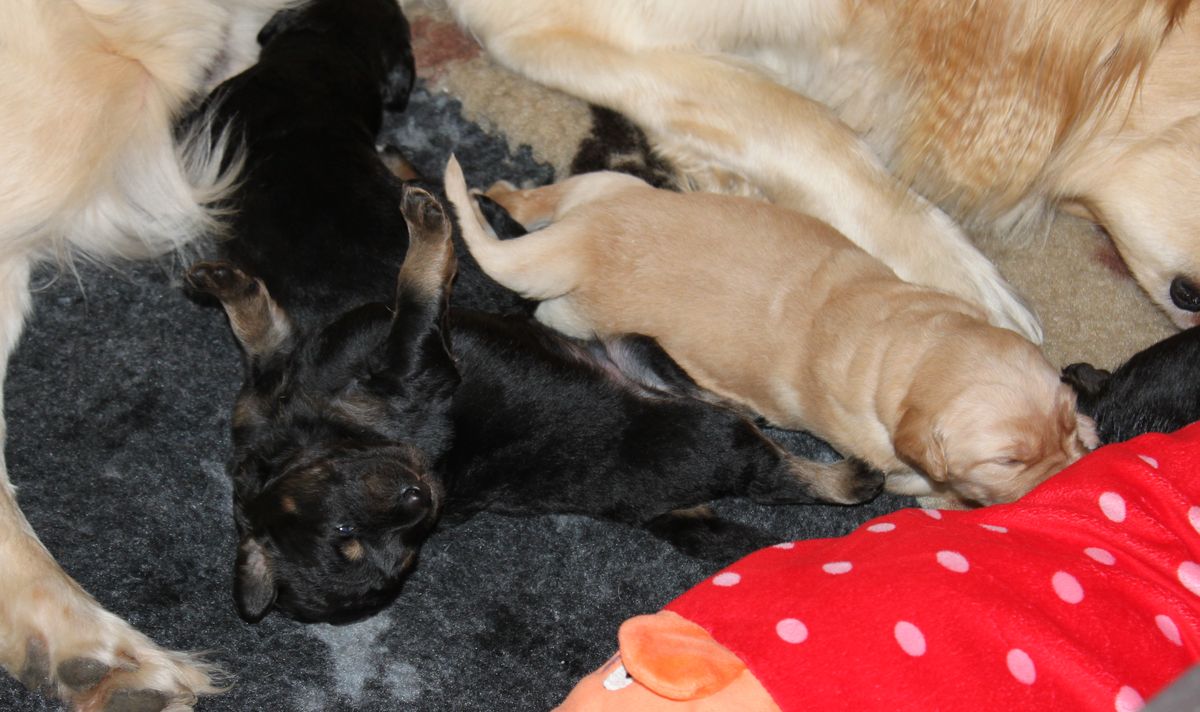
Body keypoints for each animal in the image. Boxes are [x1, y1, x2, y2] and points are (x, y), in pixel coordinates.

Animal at [185, 0, 880, 625]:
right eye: (351, 536)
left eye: (392, 547)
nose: (421, 495)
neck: (328, 434)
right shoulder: (418, 363)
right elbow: (418, 284)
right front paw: (427, 222)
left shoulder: (273, 395)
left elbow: (268, 339)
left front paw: (226, 285)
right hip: (710, 442)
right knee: (777, 465)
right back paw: (853, 476)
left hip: (630, 345)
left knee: (705, 398)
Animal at [444, 160, 1100, 507]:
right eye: (1008, 461)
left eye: (1064, 421)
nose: (1068, 478)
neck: (916, 342)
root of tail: (583, 241)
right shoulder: (884, 454)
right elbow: (917, 479)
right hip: (575, 314)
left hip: (608, 187)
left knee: (547, 196)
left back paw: (500, 194)